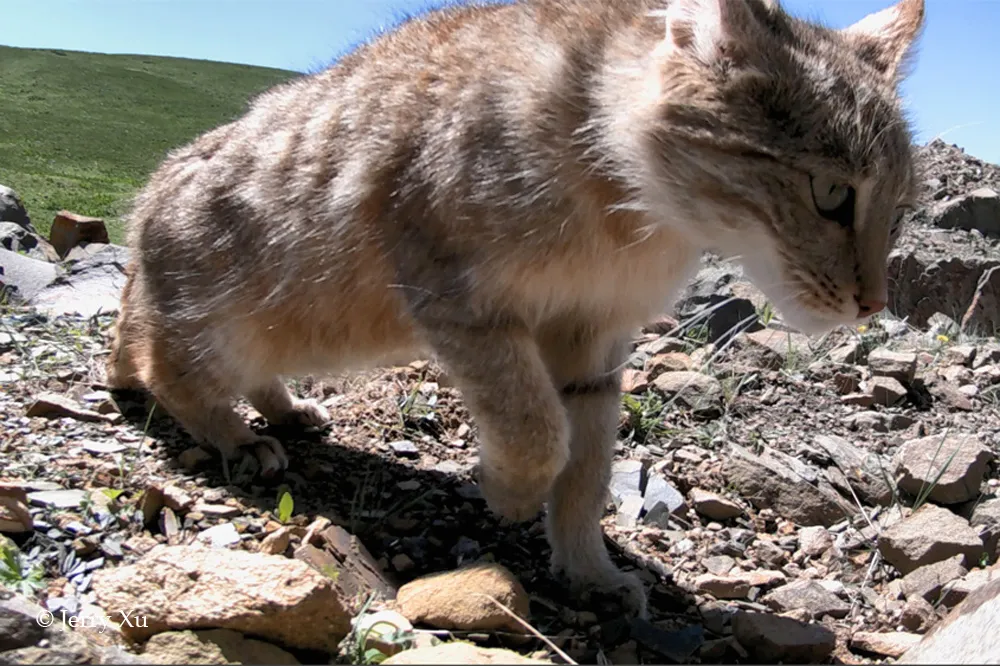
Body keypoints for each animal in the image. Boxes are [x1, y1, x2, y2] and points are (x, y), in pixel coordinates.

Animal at [105, 0, 924, 616]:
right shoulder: (458, 298)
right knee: (166, 368)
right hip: (217, 322)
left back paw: (284, 409)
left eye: (900, 211)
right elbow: (535, 430)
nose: (873, 304)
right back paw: (236, 436)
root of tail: (145, 205)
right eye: (831, 193)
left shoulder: (597, 340)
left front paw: (589, 571)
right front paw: (506, 490)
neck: (634, 211)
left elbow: (587, 469)